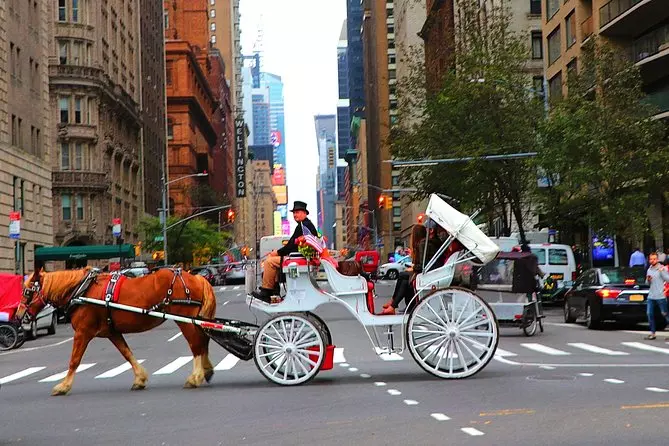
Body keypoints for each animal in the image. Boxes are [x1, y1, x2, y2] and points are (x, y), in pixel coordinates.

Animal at [16, 266, 217, 396]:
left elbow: (74, 360)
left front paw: (63, 386)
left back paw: (195, 377)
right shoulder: (112, 332)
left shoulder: (82, 332)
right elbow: (127, 354)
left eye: (27, 292)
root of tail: (196, 277)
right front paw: (140, 379)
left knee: (196, 344)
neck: (81, 291)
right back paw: (206, 371)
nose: (18, 316)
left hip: (185, 320)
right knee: (203, 340)